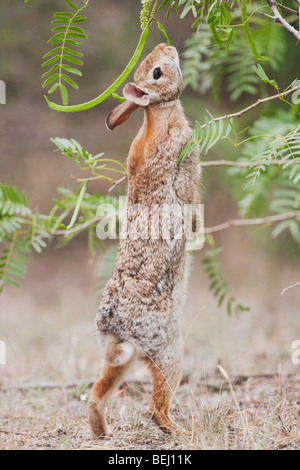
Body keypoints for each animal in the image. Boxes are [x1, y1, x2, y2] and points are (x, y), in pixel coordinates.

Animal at [89, 42, 202, 438]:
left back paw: (100, 430)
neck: (157, 115)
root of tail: (117, 330)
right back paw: (181, 431)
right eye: (157, 72)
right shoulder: (186, 157)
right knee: (157, 405)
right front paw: (196, 226)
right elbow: (190, 195)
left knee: (98, 392)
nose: (166, 46)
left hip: (123, 361)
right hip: (170, 347)